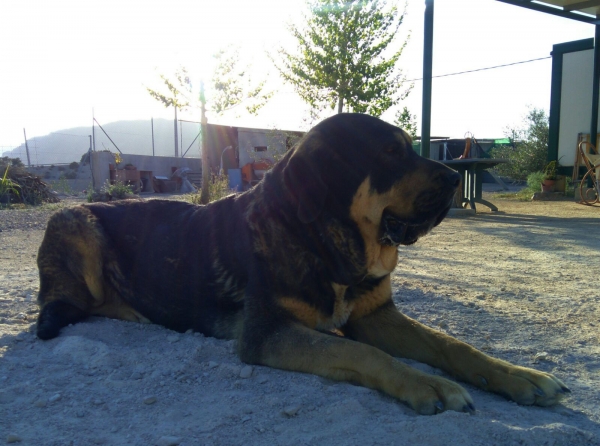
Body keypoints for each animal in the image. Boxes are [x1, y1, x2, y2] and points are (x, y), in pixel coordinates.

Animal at [35, 114, 568, 414]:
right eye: (389, 152)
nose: (457, 179)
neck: (323, 241)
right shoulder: (267, 332)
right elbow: (362, 353)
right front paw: (425, 383)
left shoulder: (376, 316)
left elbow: (452, 344)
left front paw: (517, 377)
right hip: (75, 220)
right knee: (74, 301)